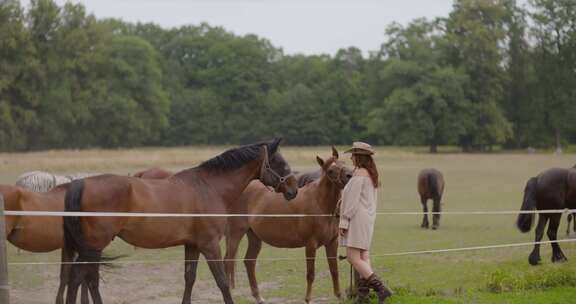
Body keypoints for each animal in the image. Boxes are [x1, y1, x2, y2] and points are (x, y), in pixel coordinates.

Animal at [62, 138, 296, 304]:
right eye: (279, 162)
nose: (294, 190)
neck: (208, 187)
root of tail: (81, 183)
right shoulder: (209, 245)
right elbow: (222, 282)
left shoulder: (192, 245)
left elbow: (189, 277)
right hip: (93, 247)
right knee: (81, 278)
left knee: (83, 279)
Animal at [224, 147, 352, 302]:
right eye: (331, 171)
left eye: (343, 162)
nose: (350, 175)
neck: (320, 203)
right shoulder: (311, 245)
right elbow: (310, 274)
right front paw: (308, 299)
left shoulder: (332, 243)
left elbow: (334, 270)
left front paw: (339, 296)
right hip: (235, 234)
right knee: (228, 262)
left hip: (254, 237)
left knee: (249, 262)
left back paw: (258, 297)